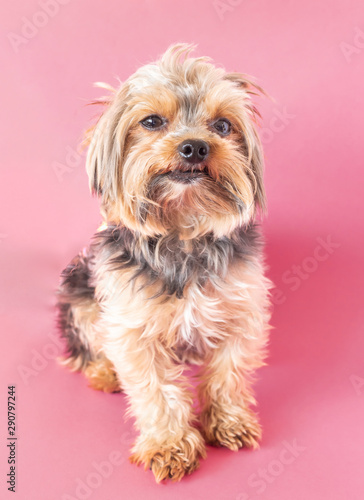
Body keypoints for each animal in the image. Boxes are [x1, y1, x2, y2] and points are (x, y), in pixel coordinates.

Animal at [57, 45, 272, 482]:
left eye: (223, 125)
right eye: (152, 121)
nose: (195, 147)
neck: (183, 234)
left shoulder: (243, 311)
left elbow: (228, 372)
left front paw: (228, 422)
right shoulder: (131, 326)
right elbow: (156, 390)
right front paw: (169, 445)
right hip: (77, 291)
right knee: (90, 342)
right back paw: (104, 372)